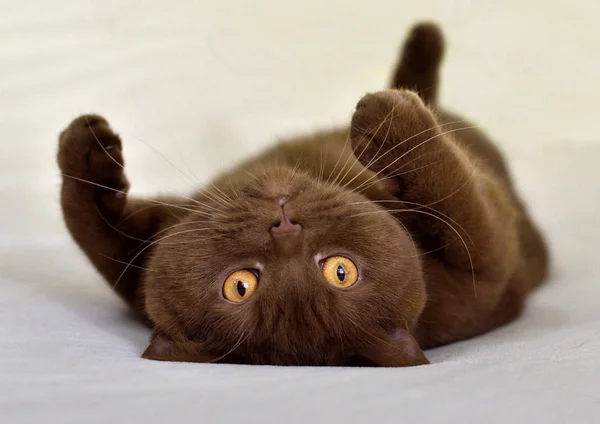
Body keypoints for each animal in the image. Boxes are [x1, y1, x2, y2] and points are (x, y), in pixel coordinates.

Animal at [57, 23, 548, 366]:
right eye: (239, 285)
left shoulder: (490, 273)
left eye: (341, 272)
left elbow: (93, 233)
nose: (285, 225)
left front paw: (86, 147)